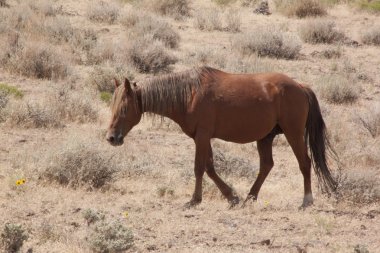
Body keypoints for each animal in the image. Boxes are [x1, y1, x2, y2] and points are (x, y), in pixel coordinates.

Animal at [105, 66, 336, 208]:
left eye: (124, 109)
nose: (112, 138)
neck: (189, 94)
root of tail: (300, 87)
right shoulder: (203, 138)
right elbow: (210, 167)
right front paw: (231, 197)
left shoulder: (202, 136)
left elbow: (199, 168)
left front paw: (194, 200)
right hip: (265, 138)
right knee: (266, 166)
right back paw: (250, 197)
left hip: (293, 133)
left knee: (304, 163)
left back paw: (306, 200)